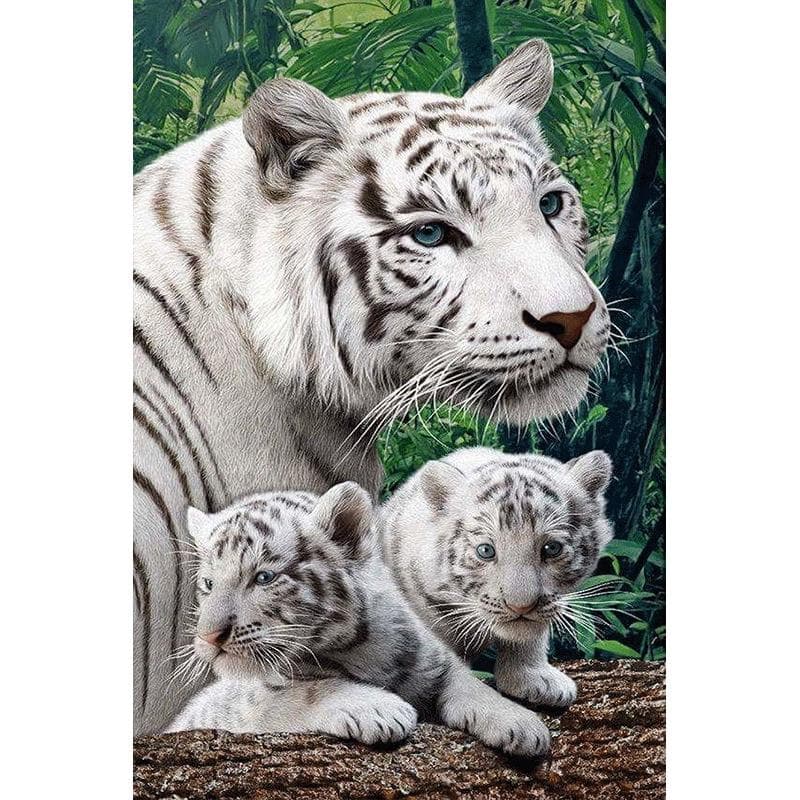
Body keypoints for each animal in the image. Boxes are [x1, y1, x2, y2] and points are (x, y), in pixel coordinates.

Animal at [166, 483, 552, 758]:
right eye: (208, 584)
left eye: (263, 578)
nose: (208, 636)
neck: (357, 648)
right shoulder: (244, 705)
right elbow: (307, 691)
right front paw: (381, 710)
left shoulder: (434, 660)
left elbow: (469, 683)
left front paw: (522, 725)